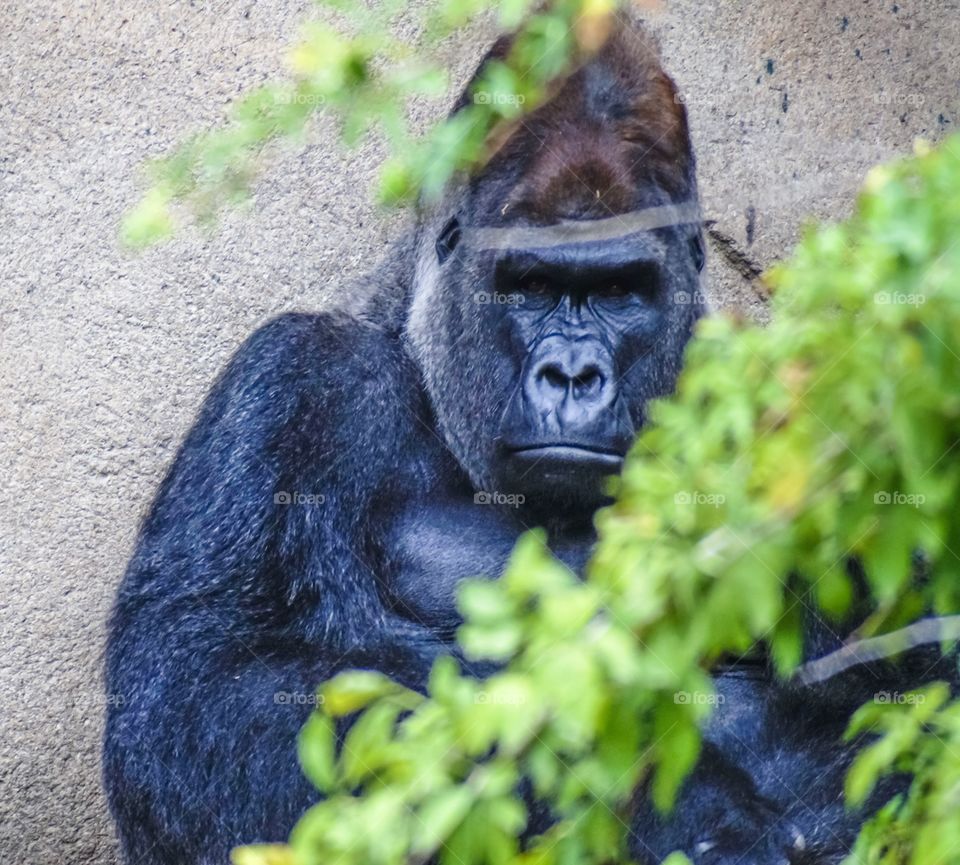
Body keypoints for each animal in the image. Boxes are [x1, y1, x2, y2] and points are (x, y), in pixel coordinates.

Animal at [103, 13, 928, 864]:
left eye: (620, 291)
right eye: (530, 287)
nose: (573, 374)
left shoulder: (810, 409)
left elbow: (896, 690)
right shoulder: (293, 380)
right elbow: (210, 682)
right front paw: (682, 814)